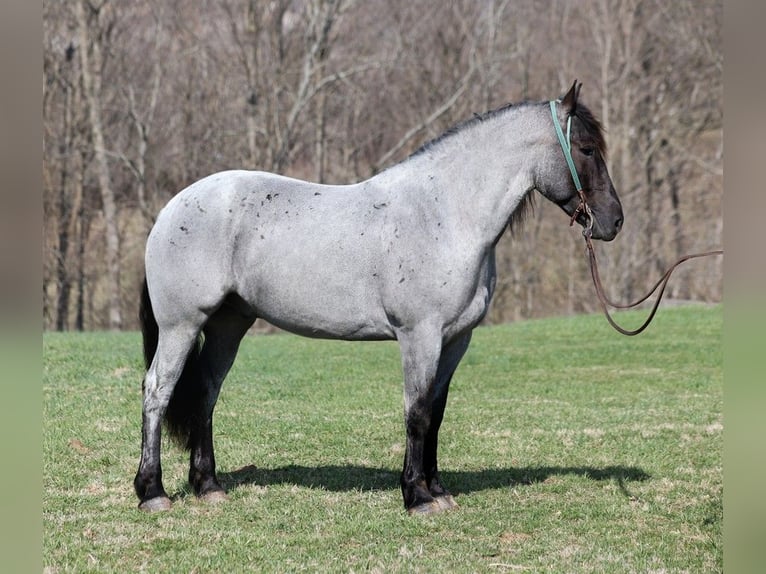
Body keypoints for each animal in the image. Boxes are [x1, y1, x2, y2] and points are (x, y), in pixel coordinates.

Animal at [134, 81, 624, 516]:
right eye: (585, 148)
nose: (614, 221)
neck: (445, 213)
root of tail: (170, 209)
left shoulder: (455, 340)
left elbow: (437, 413)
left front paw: (438, 490)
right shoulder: (419, 336)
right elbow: (417, 412)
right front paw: (417, 497)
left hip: (228, 325)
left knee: (205, 393)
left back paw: (209, 487)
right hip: (182, 325)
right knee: (158, 390)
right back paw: (152, 492)